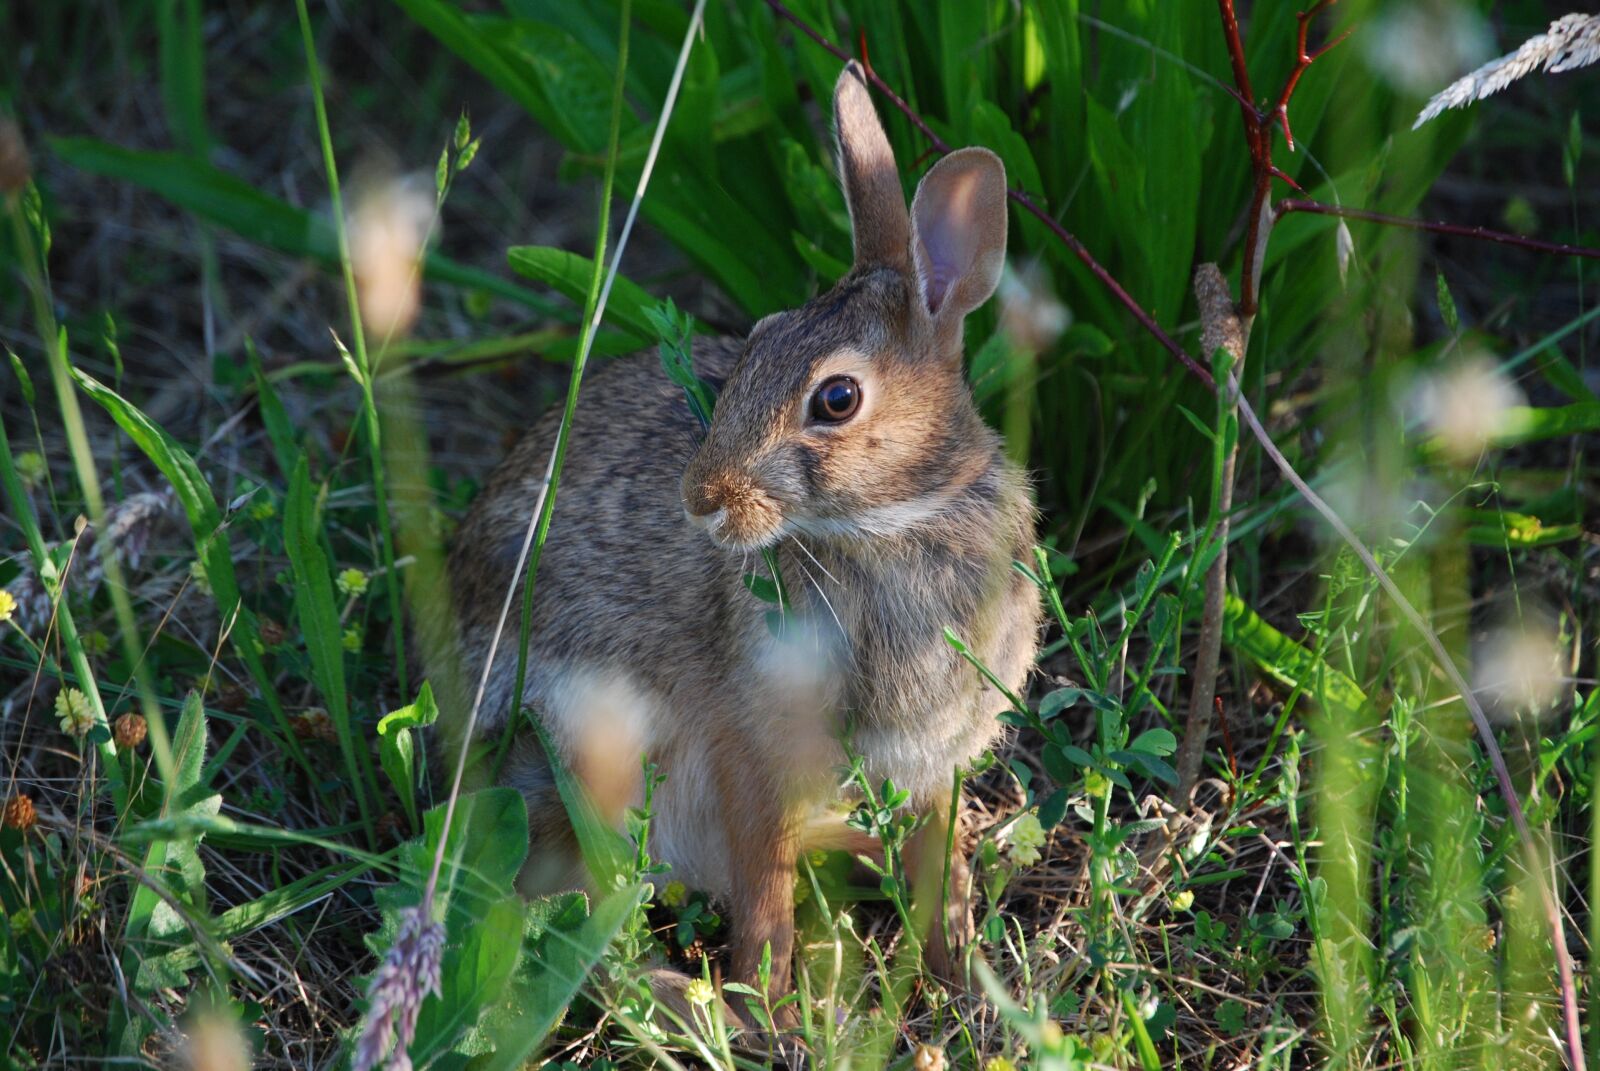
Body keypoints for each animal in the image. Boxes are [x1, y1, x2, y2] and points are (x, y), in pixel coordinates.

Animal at [441, 60, 1041, 1014]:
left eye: (836, 398)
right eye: (755, 343)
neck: (893, 521)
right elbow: (764, 887)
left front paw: (962, 973)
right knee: (575, 910)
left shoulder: (934, 758)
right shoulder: (749, 746)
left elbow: (932, 857)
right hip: (594, 749)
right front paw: (773, 1004)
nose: (701, 498)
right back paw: (686, 997)